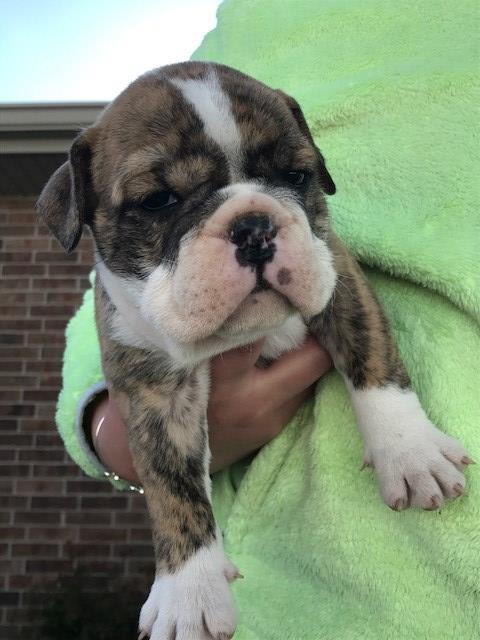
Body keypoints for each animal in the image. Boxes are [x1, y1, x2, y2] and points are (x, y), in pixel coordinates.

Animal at [37, 61, 472, 640]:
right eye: (158, 201)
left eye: (296, 176)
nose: (253, 225)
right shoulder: (150, 383)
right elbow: (172, 486)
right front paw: (189, 593)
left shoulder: (338, 274)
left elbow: (375, 359)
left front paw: (410, 451)